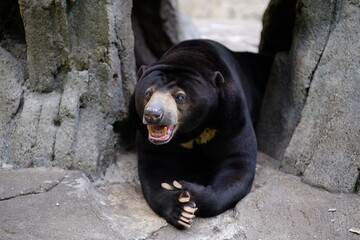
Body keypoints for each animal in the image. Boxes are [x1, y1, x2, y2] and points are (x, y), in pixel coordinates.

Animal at [129, 39, 272, 229]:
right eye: (148, 93)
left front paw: (186, 189)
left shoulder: (232, 116)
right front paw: (180, 209)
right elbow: (155, 168)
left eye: (180, 97)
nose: (153, 114)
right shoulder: (144, 133)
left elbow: (238, 164)